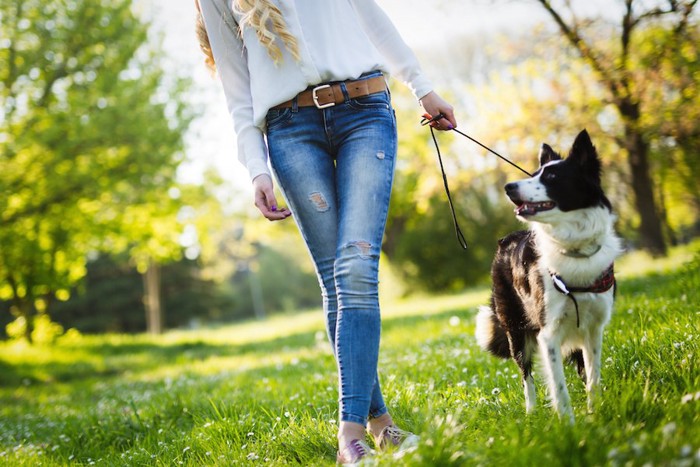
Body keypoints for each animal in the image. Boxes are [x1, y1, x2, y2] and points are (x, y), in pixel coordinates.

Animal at [476, 130, 624, 422]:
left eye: (552, 177)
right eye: (534, 174)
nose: (509, 187)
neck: (574, 247)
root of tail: (505, 240)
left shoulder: (594, 329)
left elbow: (593, 377)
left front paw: (595, 414)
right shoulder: (548, 334)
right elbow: (558, 386)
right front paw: (569, 424)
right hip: (516, 330)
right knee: (526, 375)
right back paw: (531, 412)